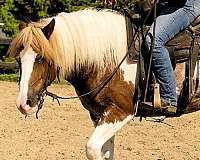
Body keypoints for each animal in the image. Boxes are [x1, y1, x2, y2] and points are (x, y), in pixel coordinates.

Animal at [7, 8, 200, 159]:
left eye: (41, 58)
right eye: (18, 59)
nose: (23, 103)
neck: (107, 59)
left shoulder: (120, 112)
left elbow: (92, 149)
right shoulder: (99, 114)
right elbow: (106, 152)